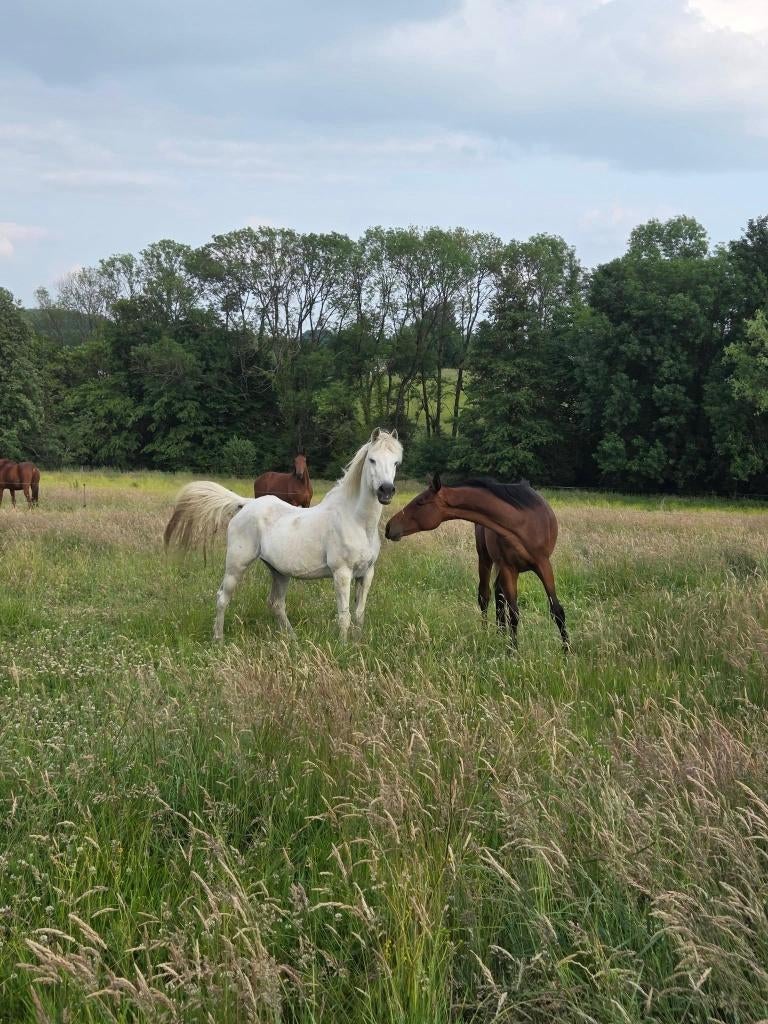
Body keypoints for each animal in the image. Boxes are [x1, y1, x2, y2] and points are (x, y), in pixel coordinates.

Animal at [165, 429, 402, 642]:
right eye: (372, 460)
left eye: (396, 463)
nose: (386, 491)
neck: (356, 521)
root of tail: (247, 504)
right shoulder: (342, 573)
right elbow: (344, 616)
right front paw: (343, 648)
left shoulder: (366, 574)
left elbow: (359, 614)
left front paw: (357, 644)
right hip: (236, 565)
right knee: (223, 598)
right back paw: (219, 639)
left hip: (279, 571)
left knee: (276, 603)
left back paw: (293, 639)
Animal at [385, 474, 568, 650]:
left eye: (420, 502)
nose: (388, 527)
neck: (521, 524)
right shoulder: (510, 569)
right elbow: (514, 613)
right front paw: (512, 651)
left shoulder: (543, 564)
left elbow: (557, 610)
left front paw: (566, 650)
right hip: (485, 559)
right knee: (486, 596)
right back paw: (488, 633)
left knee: (498, 594)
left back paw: (500, 632)